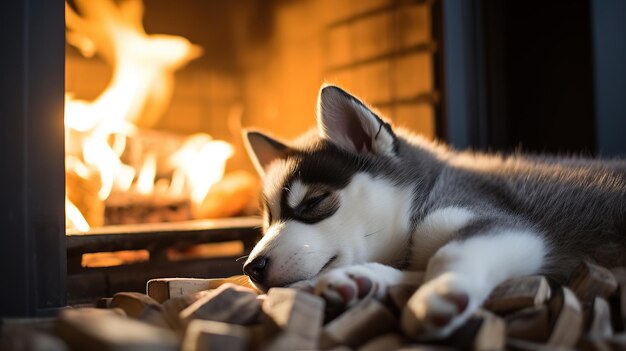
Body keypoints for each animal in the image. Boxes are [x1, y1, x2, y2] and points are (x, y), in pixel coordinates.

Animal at [240, 84, 624, 338]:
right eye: (268, 221)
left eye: (314, 202)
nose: (251, 268)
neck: (420, 205)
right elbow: (417, 269)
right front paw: (363, 278)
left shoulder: (504, 224)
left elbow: (448, 254)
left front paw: (436, 293)